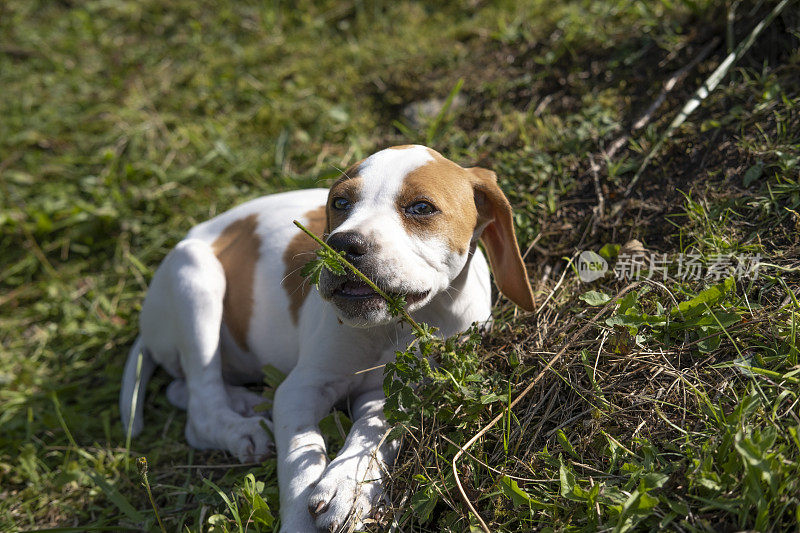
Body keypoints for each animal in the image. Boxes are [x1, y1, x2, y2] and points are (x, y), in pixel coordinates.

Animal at [119, 143, 536, 528]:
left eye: (421, 208)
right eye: (340, 202)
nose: (341, 244)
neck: (394, 326)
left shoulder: (396, 393)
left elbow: (372, 435)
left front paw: (348, 486)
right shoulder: (301, 388)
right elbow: (299, 461)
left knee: (183, 390)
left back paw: (247, 402)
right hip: (194, 273)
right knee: (200, 408)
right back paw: (242, 429)